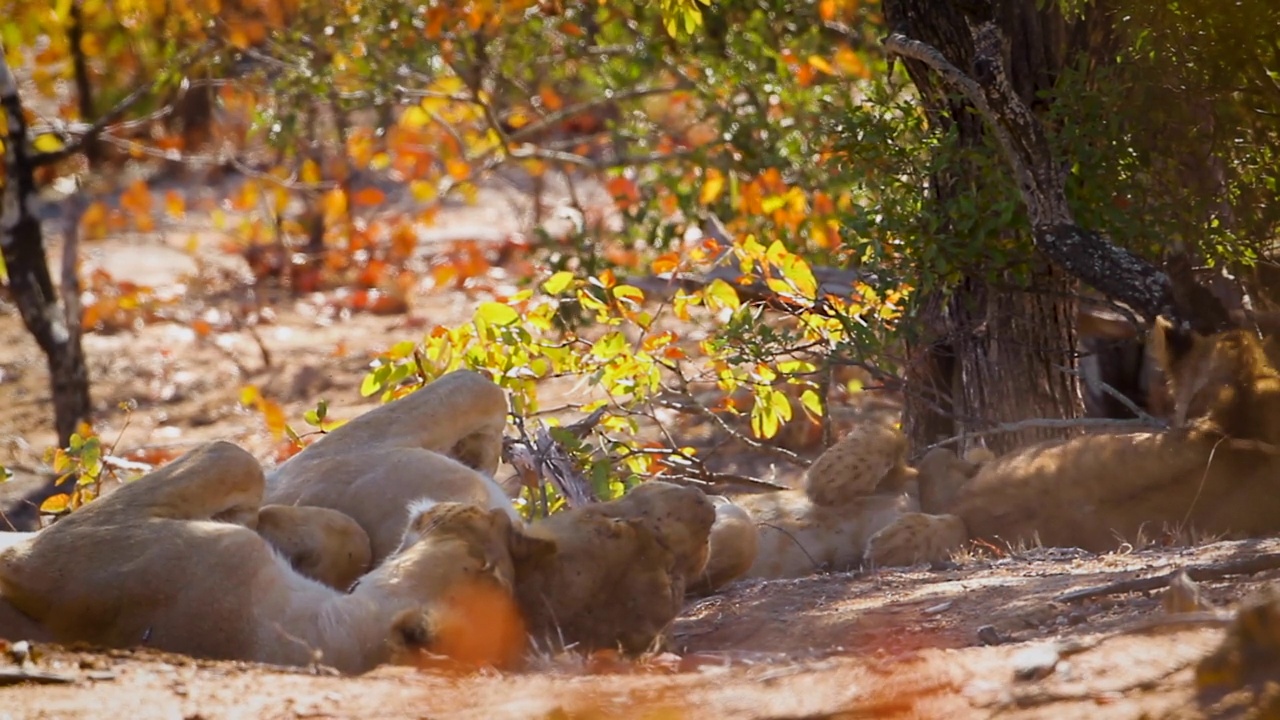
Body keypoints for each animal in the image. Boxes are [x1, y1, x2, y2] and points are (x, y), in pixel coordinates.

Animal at [0, 438, 552, 671]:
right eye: (497, 566)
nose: (496, 515)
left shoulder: (73, 555)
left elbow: (235, 456)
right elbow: (349, 537)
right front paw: (273, 520)